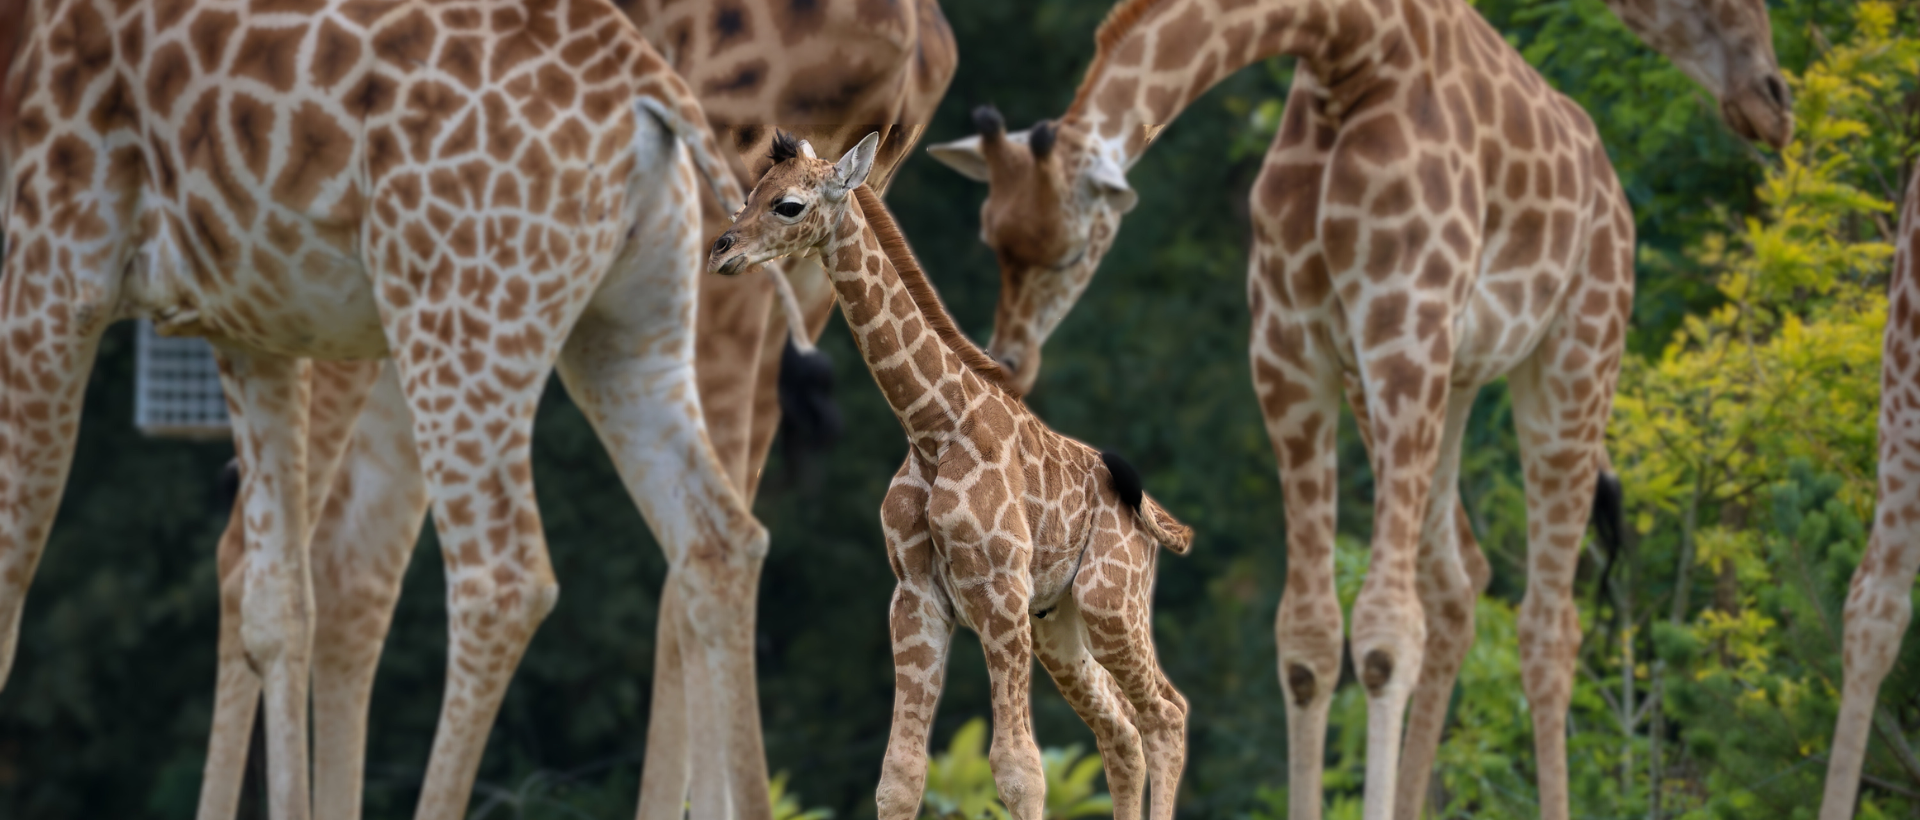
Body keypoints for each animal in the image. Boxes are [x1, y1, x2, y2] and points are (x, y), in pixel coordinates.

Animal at [0, 1, 771, 820]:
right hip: (631, 334)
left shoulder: (56, 261)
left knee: (501, 582)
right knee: (719, 542)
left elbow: (9, 592)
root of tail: (651, 92)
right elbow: (276, 603)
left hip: (461, 316)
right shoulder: (245, 319)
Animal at [714, 131, 1190, 818]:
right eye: (747, 195)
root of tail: (1154, 517)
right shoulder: (915, 598)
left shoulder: (1000, 592)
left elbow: (1020, 768)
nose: (721, 251)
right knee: (1122, 731)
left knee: (1166, 716)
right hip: (1059, 626)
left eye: (789, 205)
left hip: (1110, 602)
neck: (933, 428)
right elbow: (900, 772)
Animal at [921, 1, 1789, 820]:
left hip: (1574, 356)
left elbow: (1382, 633)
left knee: (1547, 625)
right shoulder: (1291, 353)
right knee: (1458, 583)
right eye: (990, 236)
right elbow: (1307, 639)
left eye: (1070, 250)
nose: (1011, 361)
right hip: (1446, 384)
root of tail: (1611, 191)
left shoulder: (1401, 333)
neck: (1347, 49)